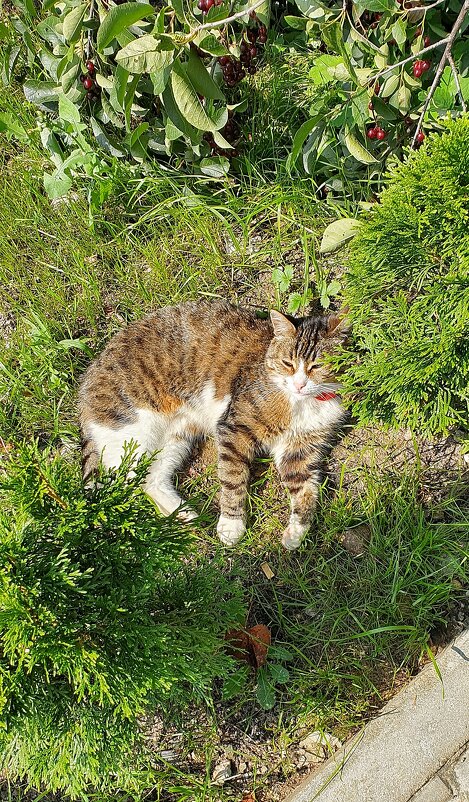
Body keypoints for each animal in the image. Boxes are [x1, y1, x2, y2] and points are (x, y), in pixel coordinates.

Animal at [78, 300, 348, 552]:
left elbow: (305, 490)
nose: (300, 384)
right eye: (287, 363)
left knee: (149, 480)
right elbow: (233, 478)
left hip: (174, 438)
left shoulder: (300, 449)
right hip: (134, 430)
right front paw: (231, 525)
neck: (302, 402)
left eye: (316, 366)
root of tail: (85, 385)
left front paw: (296, 532)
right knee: (124, 481)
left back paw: (184, 515)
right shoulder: (234, 428)